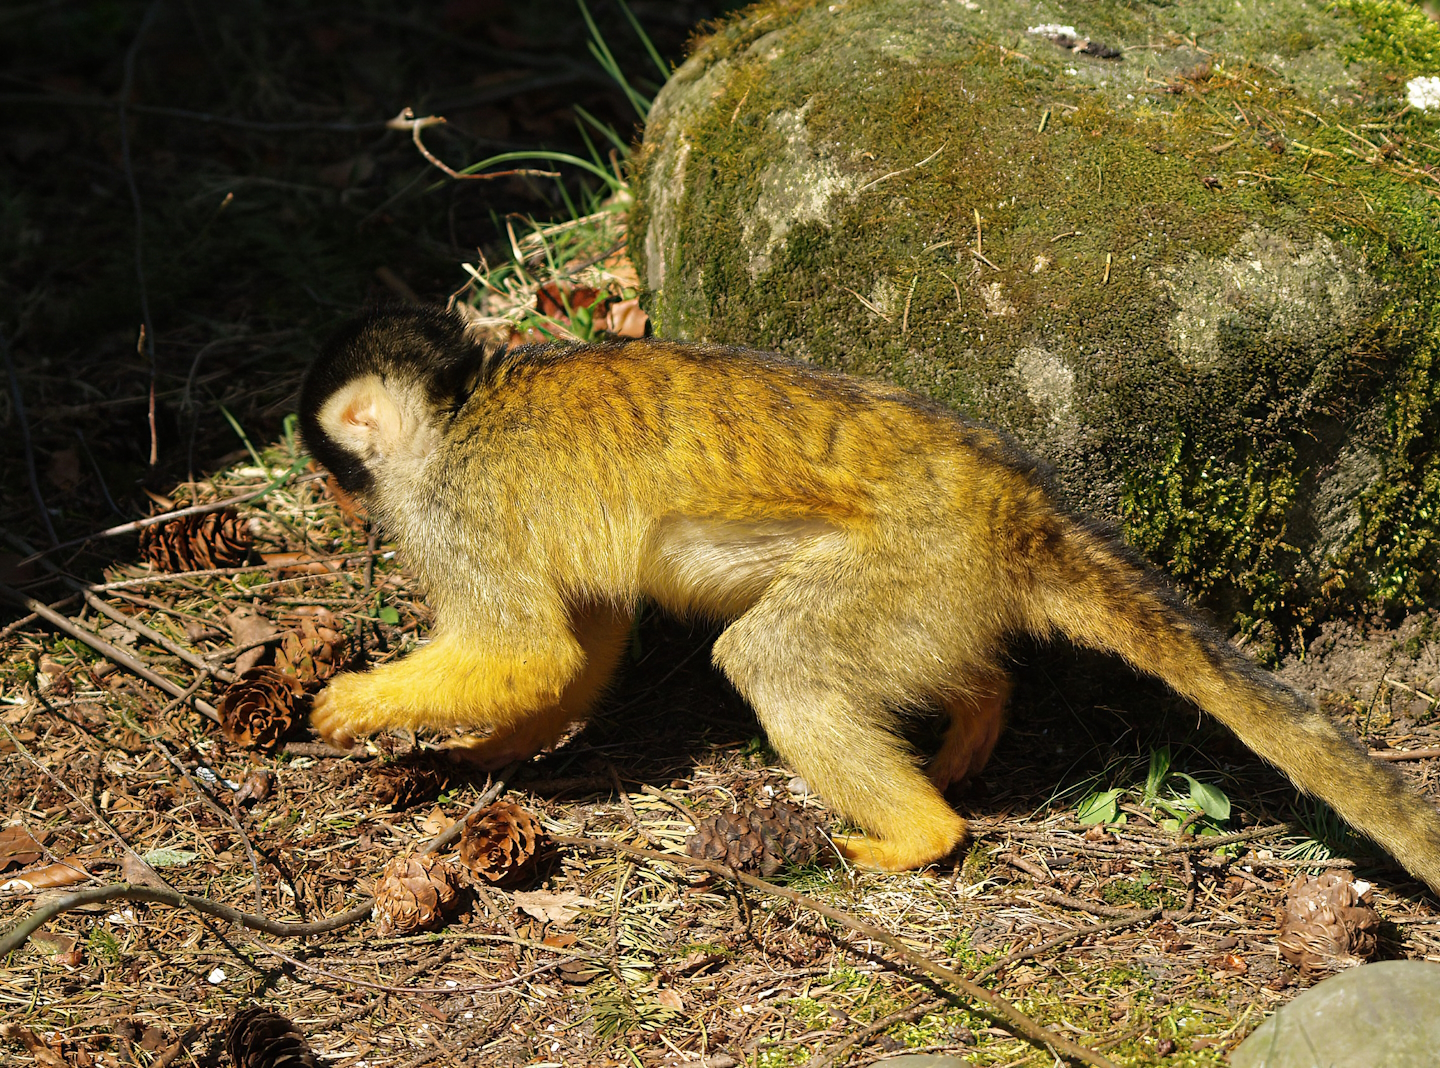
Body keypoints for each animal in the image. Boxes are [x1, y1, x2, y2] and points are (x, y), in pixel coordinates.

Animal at [299, 304, 1440, 894]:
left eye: (335, 462)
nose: (335, 496)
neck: (457, 409)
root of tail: (1010, 498)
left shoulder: (446, 508)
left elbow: (528, 646)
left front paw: (352, 706)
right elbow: (582, 641)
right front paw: (490, 752)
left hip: (910, 562)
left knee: (776, 662)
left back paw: (919, 835)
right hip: (938, 586)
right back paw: (977, 715)